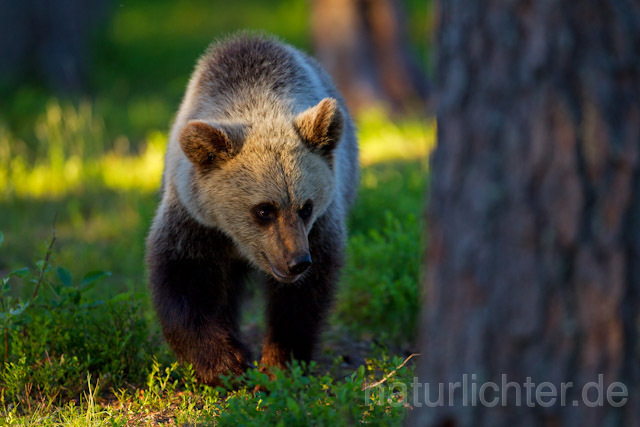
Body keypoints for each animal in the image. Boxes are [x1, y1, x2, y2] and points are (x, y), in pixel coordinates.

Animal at [145, 33, 360, 386]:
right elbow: (182, 282)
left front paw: (279, 363)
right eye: (263, 210)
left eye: (306, 207)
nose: (296, 262)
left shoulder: (321, 227)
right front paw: (227, 363)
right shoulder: (195, 221)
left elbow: (304, 298)